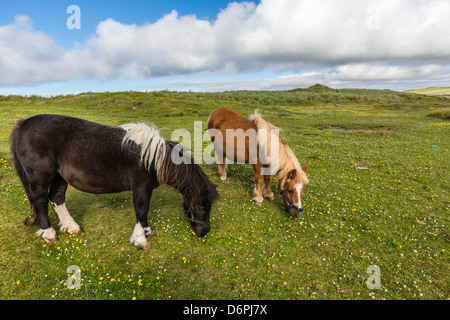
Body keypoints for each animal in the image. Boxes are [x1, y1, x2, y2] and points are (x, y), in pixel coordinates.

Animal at [11, 115, 219, 250]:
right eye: (201, 205)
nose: (204, 231)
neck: (153, 158)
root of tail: (23, 124)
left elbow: (144, 213)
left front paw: (147, 230)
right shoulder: (141, 187)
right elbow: (141, 210)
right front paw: (140, 239)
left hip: (59, 177)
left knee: (56, 198)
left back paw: (72, 227)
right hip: (40, 178)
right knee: (40, 202)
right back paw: (49, 233)